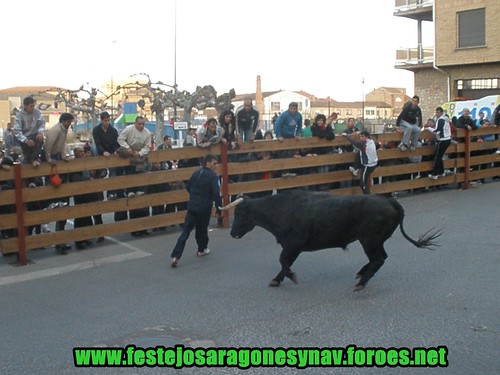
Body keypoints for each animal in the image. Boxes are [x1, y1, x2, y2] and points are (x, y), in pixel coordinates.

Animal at [225, 192, 440, 292]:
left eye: (239, 213)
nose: (232, 233)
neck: (282, 209)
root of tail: (389, 201)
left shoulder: (293, 244)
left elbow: (284, 262)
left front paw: (289, 277)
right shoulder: (292, 246)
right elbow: (284, 263)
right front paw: (277, 279)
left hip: (369, 240)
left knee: (378, 259)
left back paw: (361, 282)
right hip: (375, 241)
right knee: (380, 258)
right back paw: (362, 273)